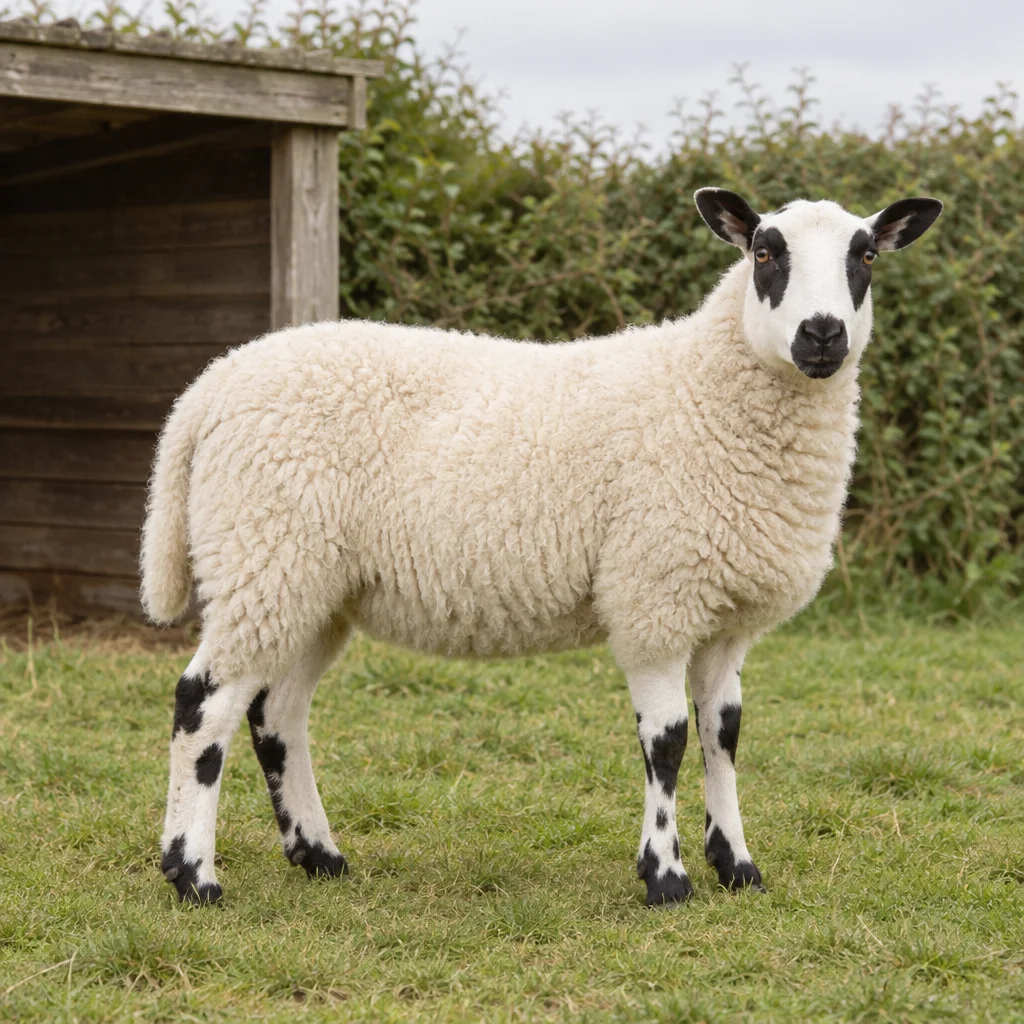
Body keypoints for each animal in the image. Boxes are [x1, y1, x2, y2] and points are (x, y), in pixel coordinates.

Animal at [141, 188, 942, 906]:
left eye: (866, 256)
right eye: (765, 253)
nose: (822, 335)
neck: (704, 387)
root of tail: (208, 389)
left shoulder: (722, 616)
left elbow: (724, 735)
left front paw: (738, 868)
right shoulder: (654, 597)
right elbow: (667, 742)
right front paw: (666, 878)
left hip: (312, 585)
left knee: (277, 715)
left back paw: (318, 857)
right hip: (265, 554)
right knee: (202, 703)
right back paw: (193, 874)